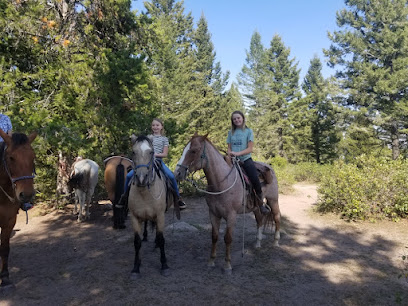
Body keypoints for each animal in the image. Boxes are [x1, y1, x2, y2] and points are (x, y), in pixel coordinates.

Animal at [129, 135, 171, 278]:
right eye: (133, 152)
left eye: (151, 152)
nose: (141, 178)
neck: (145, 193)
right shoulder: (135, 217)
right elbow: (137, 242)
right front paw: (136, 267)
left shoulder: (160, 216)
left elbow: (162, 239)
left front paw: (164, 265)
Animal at [172, 135, 280, 274]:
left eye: (194, 151)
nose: (177, 173)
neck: (222, 182)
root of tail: (269, 167)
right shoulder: (213, 214)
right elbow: (214, 236)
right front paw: (211, 261)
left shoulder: (231, 216)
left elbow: (228, 238)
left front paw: (227, 265)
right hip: (256, 206)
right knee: (260, 220)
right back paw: (258, 243)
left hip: (273, 200)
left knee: (277, 217)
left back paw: (276, 242)